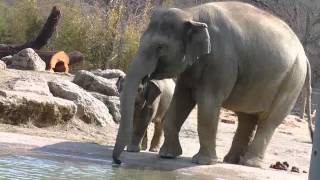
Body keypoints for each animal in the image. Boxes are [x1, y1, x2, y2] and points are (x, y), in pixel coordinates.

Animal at [112, 1, 312, 167]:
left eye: (160, 47)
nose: (118, 162)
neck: (191, 14)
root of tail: (304, 55)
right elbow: (180, 102)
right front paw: (167, 155)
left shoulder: (220, 61)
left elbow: (208, 105)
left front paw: (202, 162)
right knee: (246, 118)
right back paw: (231, 161)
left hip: (292, 81)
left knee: (269, 120)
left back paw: (250, 164)